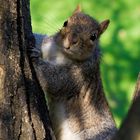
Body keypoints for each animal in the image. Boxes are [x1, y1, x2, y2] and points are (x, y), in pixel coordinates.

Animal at [29, 5, 117, 140]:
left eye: (93, 37)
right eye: (65, 22)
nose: (71, 40)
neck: (61, 53)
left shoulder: (78, 75)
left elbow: (54, 80)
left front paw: (36, 59)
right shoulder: (46, 43)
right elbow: (39, 38)